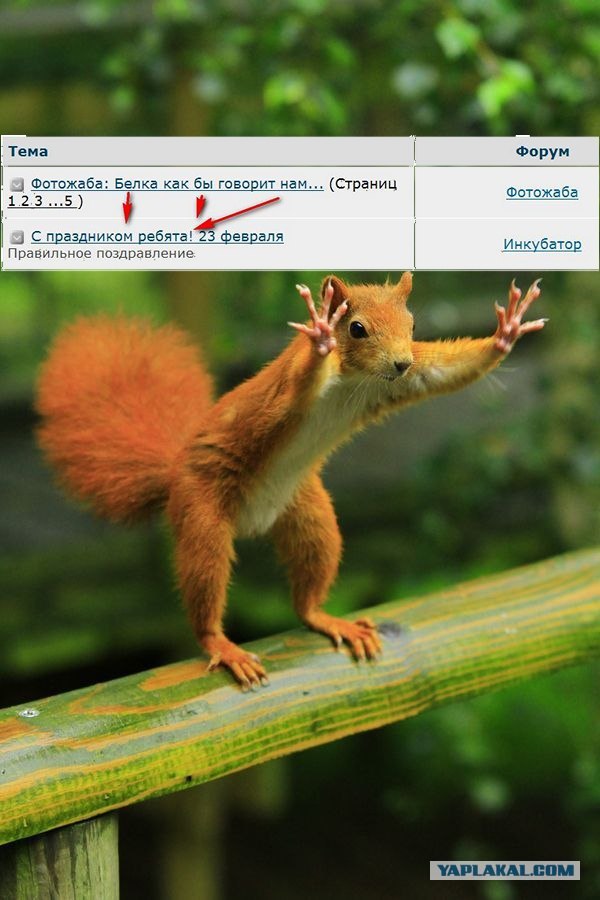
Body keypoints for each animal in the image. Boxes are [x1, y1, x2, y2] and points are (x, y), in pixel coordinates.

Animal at [36, 273, 546, 689]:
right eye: (356, 328)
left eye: (413, 323)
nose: (400, 362)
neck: (354, 380)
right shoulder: (286, 392)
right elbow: (298, 385)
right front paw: (320, 334)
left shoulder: (401, 382)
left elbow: (442, 371)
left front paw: (506, 333)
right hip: (202, 513)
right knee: (204, 582)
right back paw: (221, 644)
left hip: (309, 514)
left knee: (307, 589)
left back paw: (326, 618)